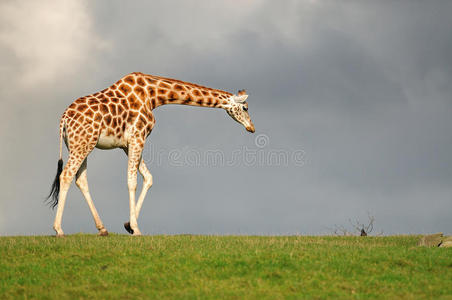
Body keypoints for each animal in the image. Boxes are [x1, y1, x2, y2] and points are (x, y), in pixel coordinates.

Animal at [47, 72, 256, 237]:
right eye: (245, 108)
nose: (251, 128)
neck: (154, 96)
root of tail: (64, 119)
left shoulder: (127, 144)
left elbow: (148, 177)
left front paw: (129, 225)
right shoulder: (138, 137)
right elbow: (132, 181)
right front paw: (136, 229)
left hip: (80, 145)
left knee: (80, 179)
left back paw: (102, 229)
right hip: (82, 144)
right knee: (66, 175)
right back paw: (58, 230)